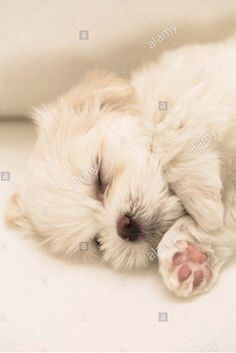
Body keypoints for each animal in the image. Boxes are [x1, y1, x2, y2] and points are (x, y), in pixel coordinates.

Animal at [5, 34, 236, 296]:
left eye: (99, 175)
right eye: (96, 241)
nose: (124, 226)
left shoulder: (206, 84)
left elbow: (169, 130)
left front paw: (205, 208)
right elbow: (226, 221)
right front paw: (188, 254)